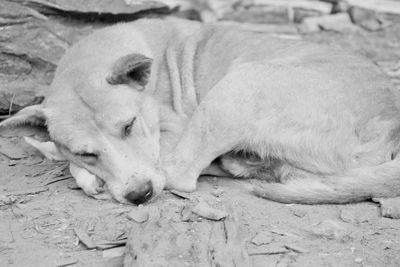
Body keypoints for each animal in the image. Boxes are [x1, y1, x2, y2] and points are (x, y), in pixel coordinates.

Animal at [2, 17, 400, 205]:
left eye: (129, 126)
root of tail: (390, 125)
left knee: (181, 174)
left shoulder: (173, 131)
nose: (140, 195)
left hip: (239, 83)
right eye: (87, 152)